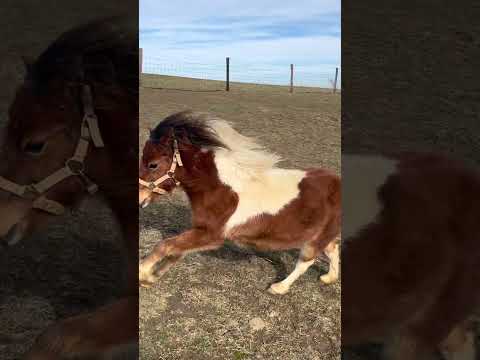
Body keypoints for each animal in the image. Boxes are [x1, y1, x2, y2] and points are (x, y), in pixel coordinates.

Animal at [138, 111, 342, 294]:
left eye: (153, 164)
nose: (139, 199)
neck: (221, 188)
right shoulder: (201, 231)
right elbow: (176, 251)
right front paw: (152, 277)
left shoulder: (212, 235)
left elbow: (165, 245)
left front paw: (143, 273)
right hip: (322, 233)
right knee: (332, 249)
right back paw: (328, 278)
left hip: (316, 238)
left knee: (306, 262)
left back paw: (279, 288)